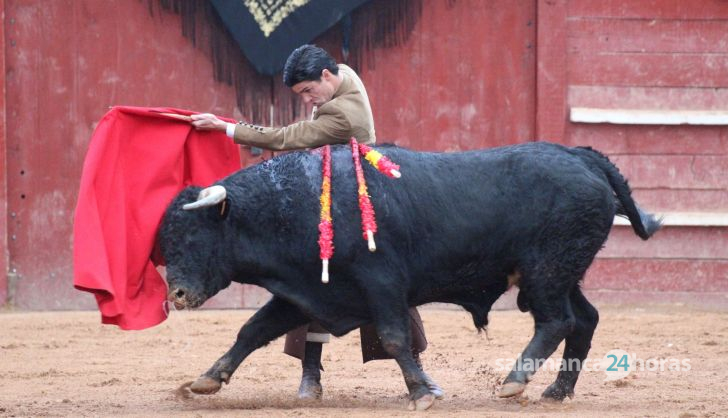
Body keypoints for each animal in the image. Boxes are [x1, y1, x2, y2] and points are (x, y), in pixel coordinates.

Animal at [159, 142, 660, 410]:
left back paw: (514, 381)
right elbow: (252, 330)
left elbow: (396, 337)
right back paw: (557, 390)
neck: (292, 202)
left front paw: (420, 392)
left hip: (546, 272)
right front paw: (207, 379)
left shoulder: (381, 284)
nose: (176, 294)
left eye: (192, 234)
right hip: (562, 275)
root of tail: (580, 155)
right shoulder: (306, 292)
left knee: (557, 321)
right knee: (585, 319)